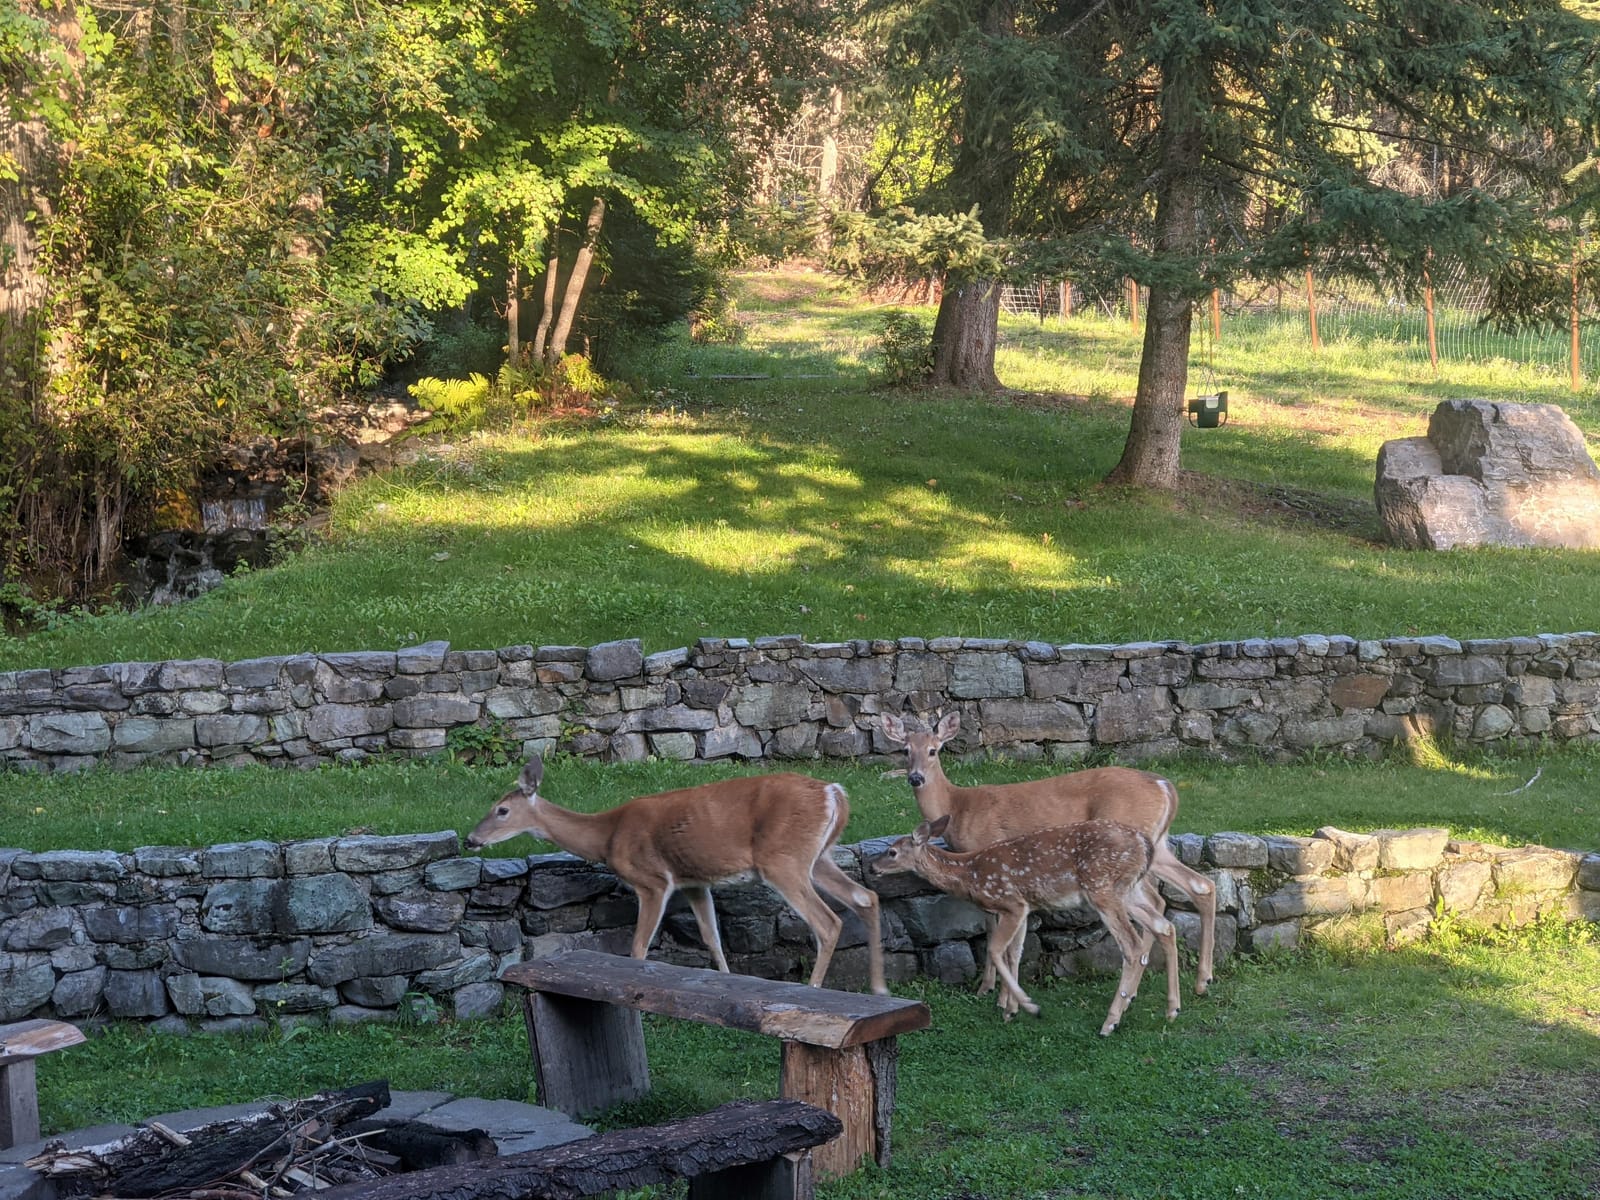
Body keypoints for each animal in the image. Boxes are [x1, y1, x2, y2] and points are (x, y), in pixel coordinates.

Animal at [465, 756, 887, 995]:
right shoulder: (695, 881)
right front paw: (724, 983)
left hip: (783, 860)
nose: (471, 839)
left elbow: (638, 947)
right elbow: (712, 938)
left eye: (501, 810)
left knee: (828, 922)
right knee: (867, 897)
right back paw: (879, 988)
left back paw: (815, 990)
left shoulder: (653, 881)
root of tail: (834, 792)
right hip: (818, 857)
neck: (607, 835)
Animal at [871, 815, 1178, 1031]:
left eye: (892, 852)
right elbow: (1014, 953)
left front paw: (1026, 1006)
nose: (872, 867)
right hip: (1128, 890)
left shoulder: (1011, 903)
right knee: (1164, 926)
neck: (971, 874)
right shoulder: (1025, 908)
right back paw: (1171, 1009)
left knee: (1133, 945)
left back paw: (1110, 1022)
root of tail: (1145, 845)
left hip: (1102, 888)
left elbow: (996, 950)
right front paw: (1010, 1008)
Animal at [880, 711, 1215, 998]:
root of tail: (1165, 785)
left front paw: (988, 988)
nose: (915, 778)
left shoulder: (990, 860)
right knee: (1197, 886)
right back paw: (1200, 980)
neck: (957, 807)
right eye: (905, 750)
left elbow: (991, 929)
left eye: (933, 750)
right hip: (1157, 844)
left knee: (1157, 899)